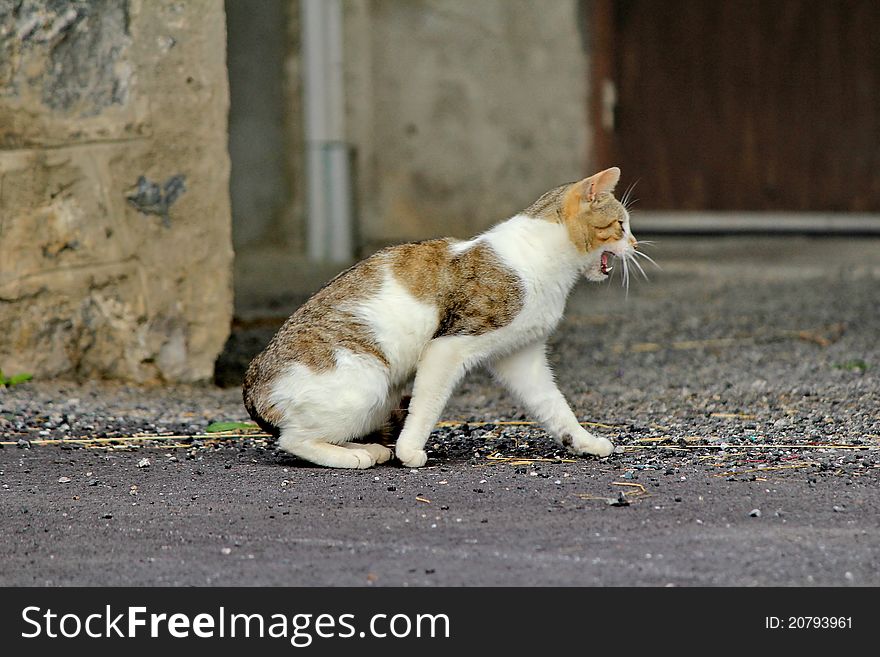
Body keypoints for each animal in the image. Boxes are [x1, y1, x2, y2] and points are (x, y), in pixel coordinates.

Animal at [244, 167, 644, 468]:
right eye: (621, 225)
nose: (636, 244)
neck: (544, 258)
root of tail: (254, 380)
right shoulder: (447, 347)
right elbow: (428, 404)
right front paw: (410, 452)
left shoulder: (521, 355)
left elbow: (554, 405)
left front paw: (583, 442)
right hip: (367, 383)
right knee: (293, 439)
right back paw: (353, 457)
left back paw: (365, 448)